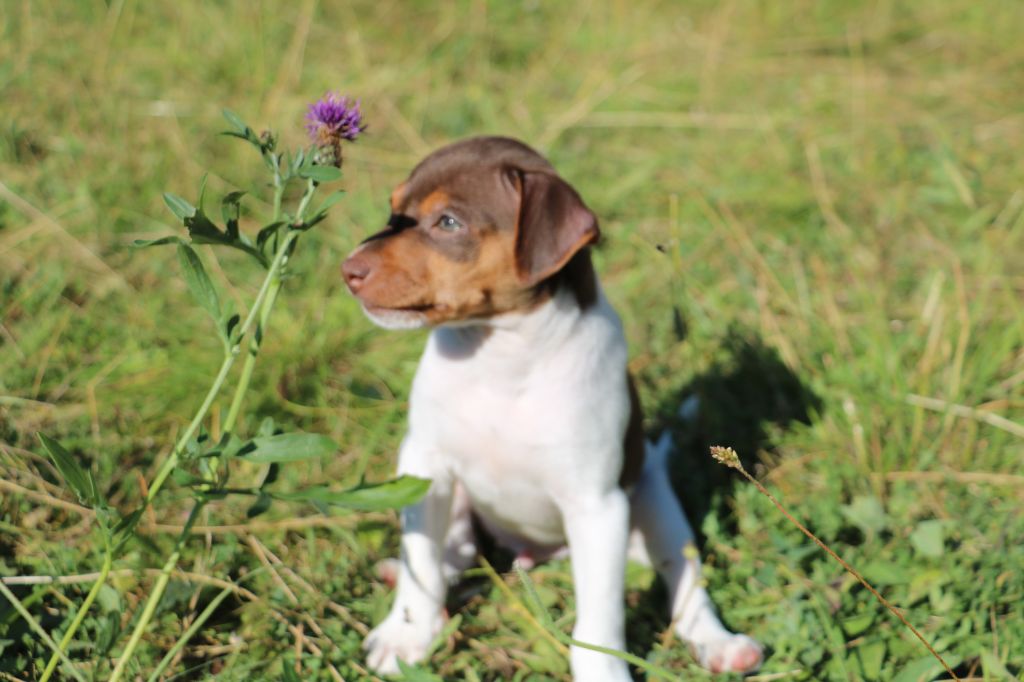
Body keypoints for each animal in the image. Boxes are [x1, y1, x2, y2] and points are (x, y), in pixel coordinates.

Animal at [342, 135, 761, 675]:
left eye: (448, 222)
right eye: (393, 210)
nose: (348, 270)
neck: (500, 354)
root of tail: (536, 552)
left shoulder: (596, 507)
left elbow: (598, 622)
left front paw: (603, 674)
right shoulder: (424, 464)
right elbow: (422, 560)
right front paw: (405, 634)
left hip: (656, 507)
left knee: (685, 580)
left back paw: (721, 643)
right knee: (454, 551)